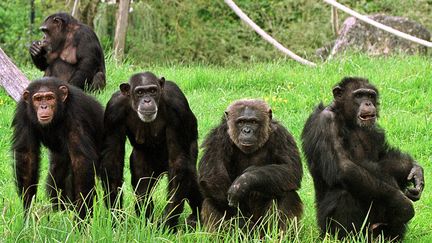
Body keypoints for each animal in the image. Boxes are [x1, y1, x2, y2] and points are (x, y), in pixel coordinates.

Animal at [12, 78, 104, 220]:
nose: (44, 106)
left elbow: (81, 161)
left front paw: (82, 215)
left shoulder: (76, 113)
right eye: (38, 99)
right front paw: (28, 211)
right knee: (56, 174)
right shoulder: (22, 111)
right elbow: (27, 156)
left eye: (50, 98)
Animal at [101, 71, 202, 229]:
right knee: (142, 186)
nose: (147, 100)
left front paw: (167, 224)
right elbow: (112, 161)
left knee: (189, 175)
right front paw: (116, 217)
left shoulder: (177, 105)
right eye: (140, 92)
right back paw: (146, 222)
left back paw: (198, 216)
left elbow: (178, 163)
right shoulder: (113, 111)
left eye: (153, 91)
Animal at [197, 99, 302, 232]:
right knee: (210, 201)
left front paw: (244, 181)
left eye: (253, 122)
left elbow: (291, 169)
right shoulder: (217, 138)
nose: (246, 130)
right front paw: (241, 222)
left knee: (287, 194)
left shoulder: (282, 136)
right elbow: (213, 175)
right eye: (241, 122)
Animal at [302, 77, 424, 240]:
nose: (368, 103)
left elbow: (383, 159)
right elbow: (344, 166)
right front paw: (401, 203)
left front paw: (416, 171)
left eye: (370, 96)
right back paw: (346, 237)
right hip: (326, 229)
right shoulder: (325, 122)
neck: (348, 119)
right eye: (359, 95)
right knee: (344, 194)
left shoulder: (374, 130)